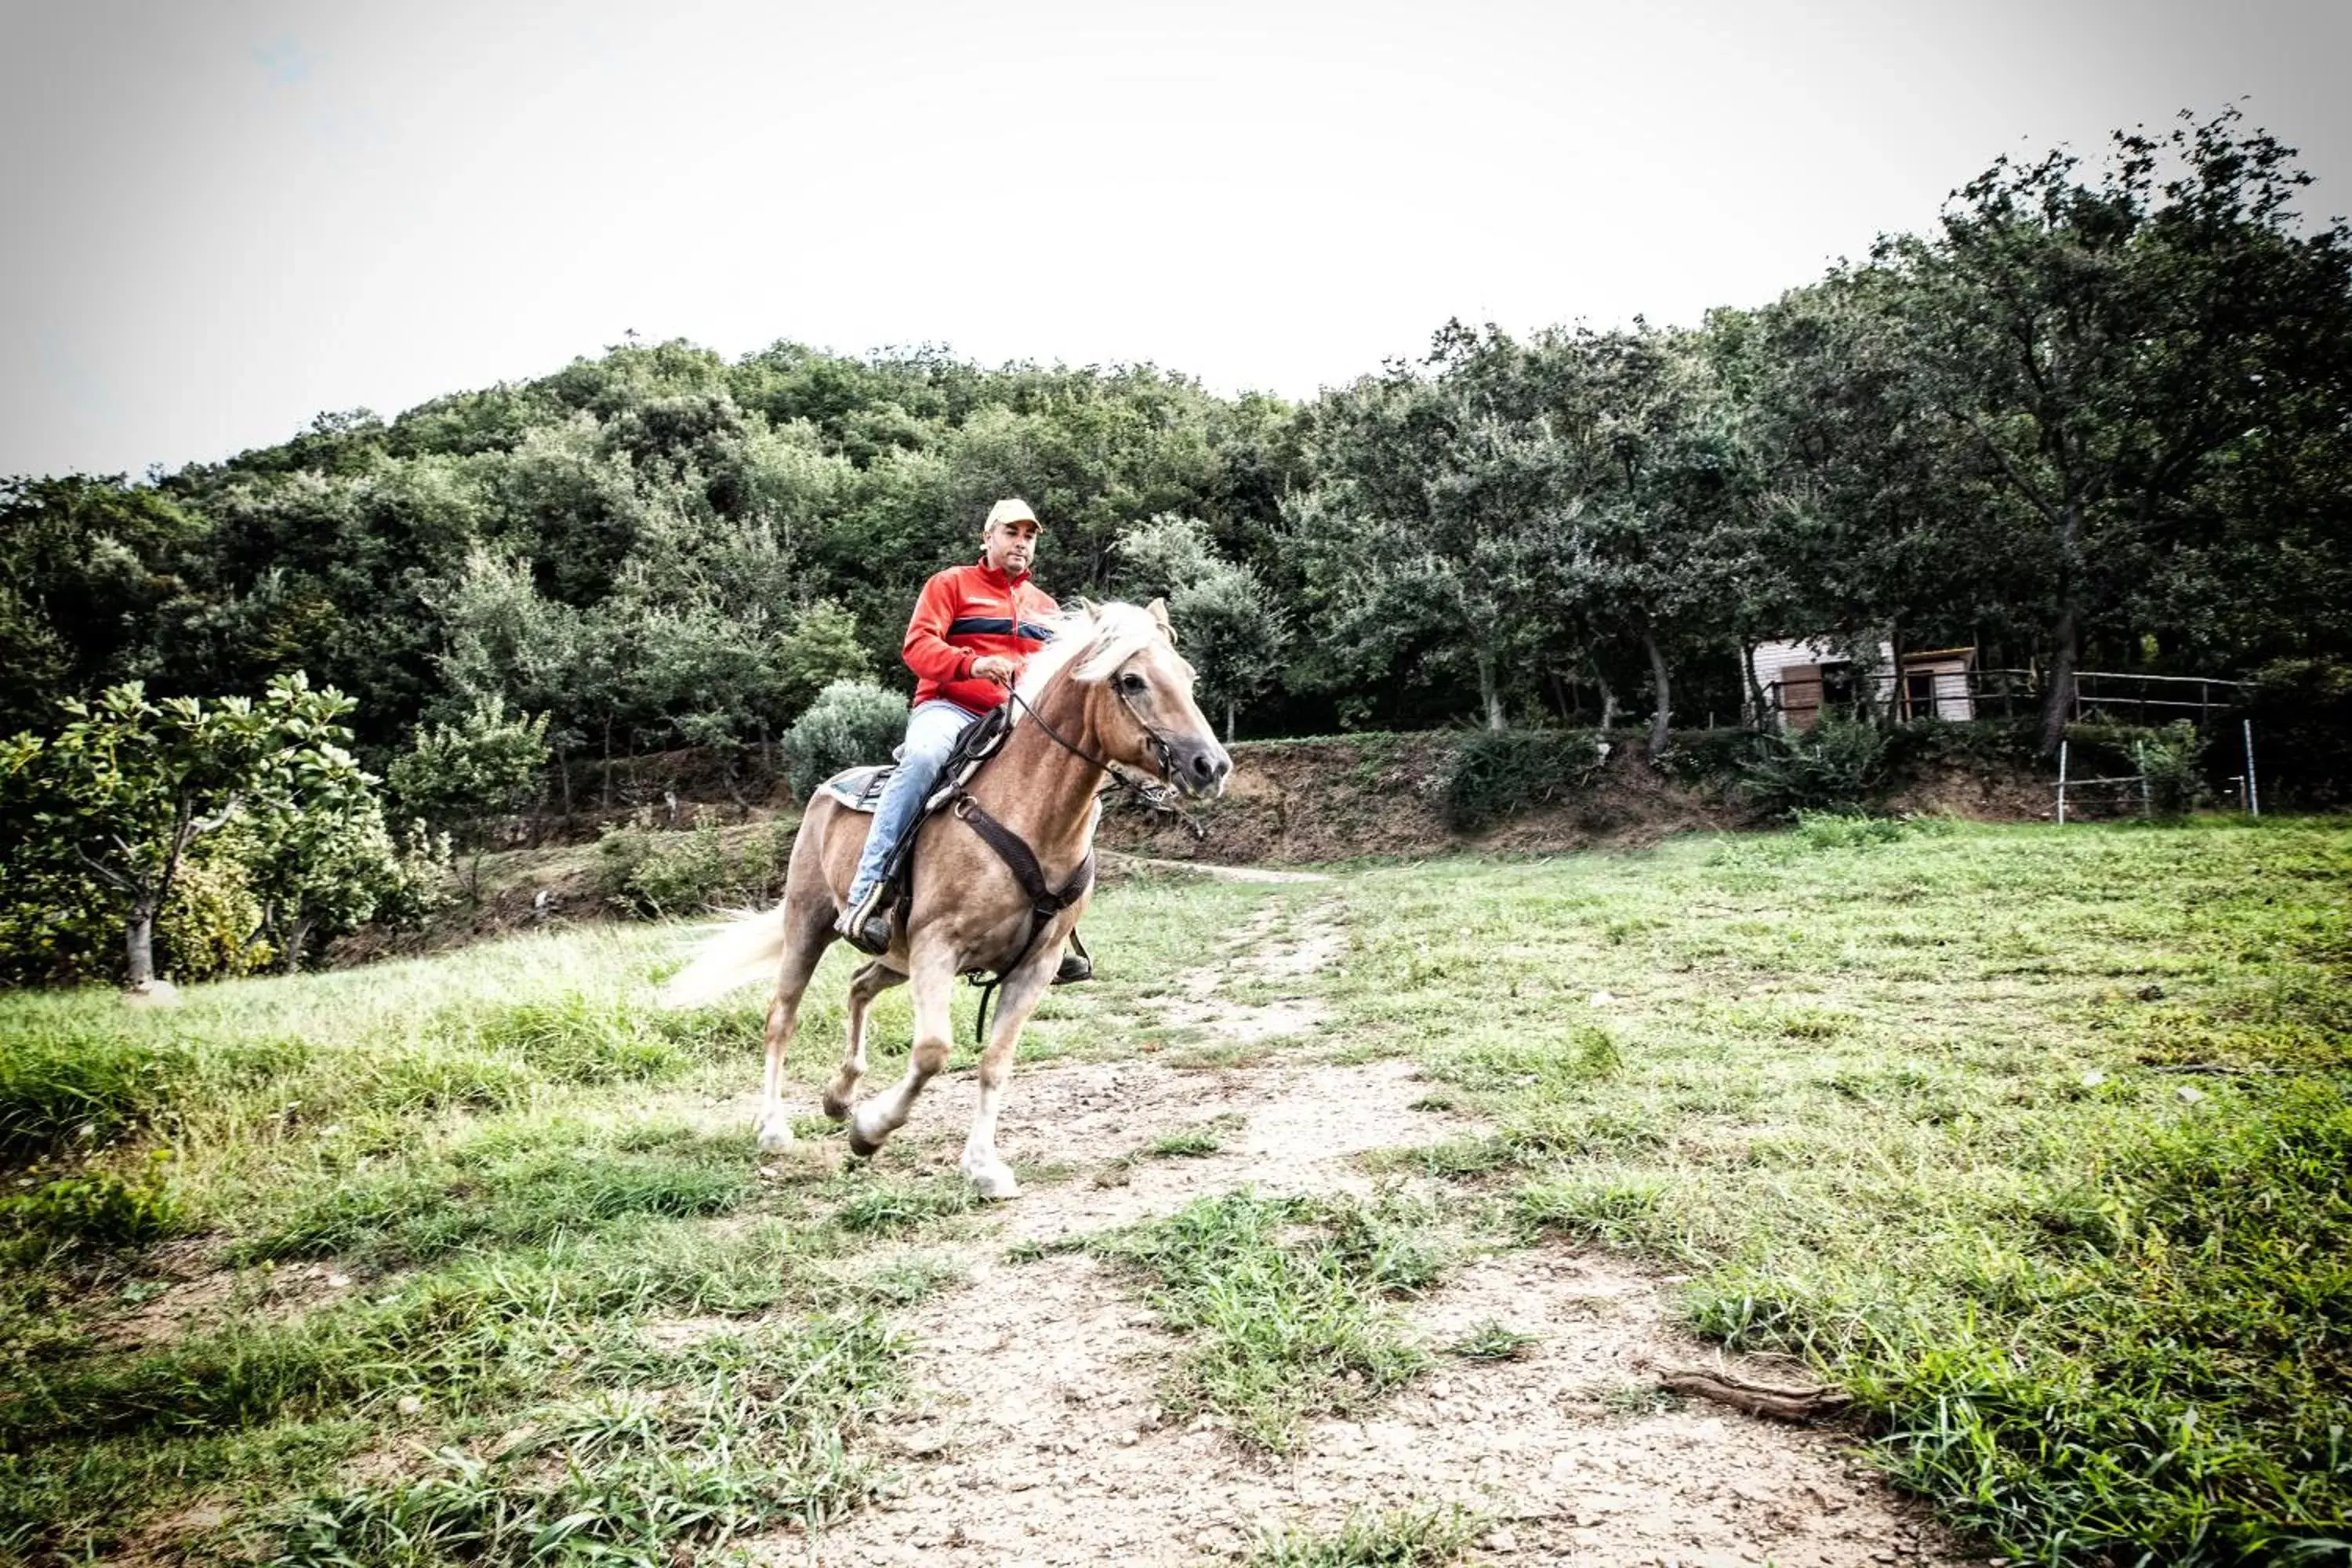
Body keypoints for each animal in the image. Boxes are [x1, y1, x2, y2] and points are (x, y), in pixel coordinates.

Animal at [654, 601, 1223, 1203]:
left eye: (1188, 676)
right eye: (1132, 680)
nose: (1210, 765)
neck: (1031, 815)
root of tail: (825, 790)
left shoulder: (1035, 966)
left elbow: (995, 1062)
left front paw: (984, 1167)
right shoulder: (937, 947)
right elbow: (932, 1051)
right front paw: (870, 1131)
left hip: (893, 954)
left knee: (858, 986)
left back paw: (839, 1096)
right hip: (809, 926)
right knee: (781, 1016)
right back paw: (774, 1128)